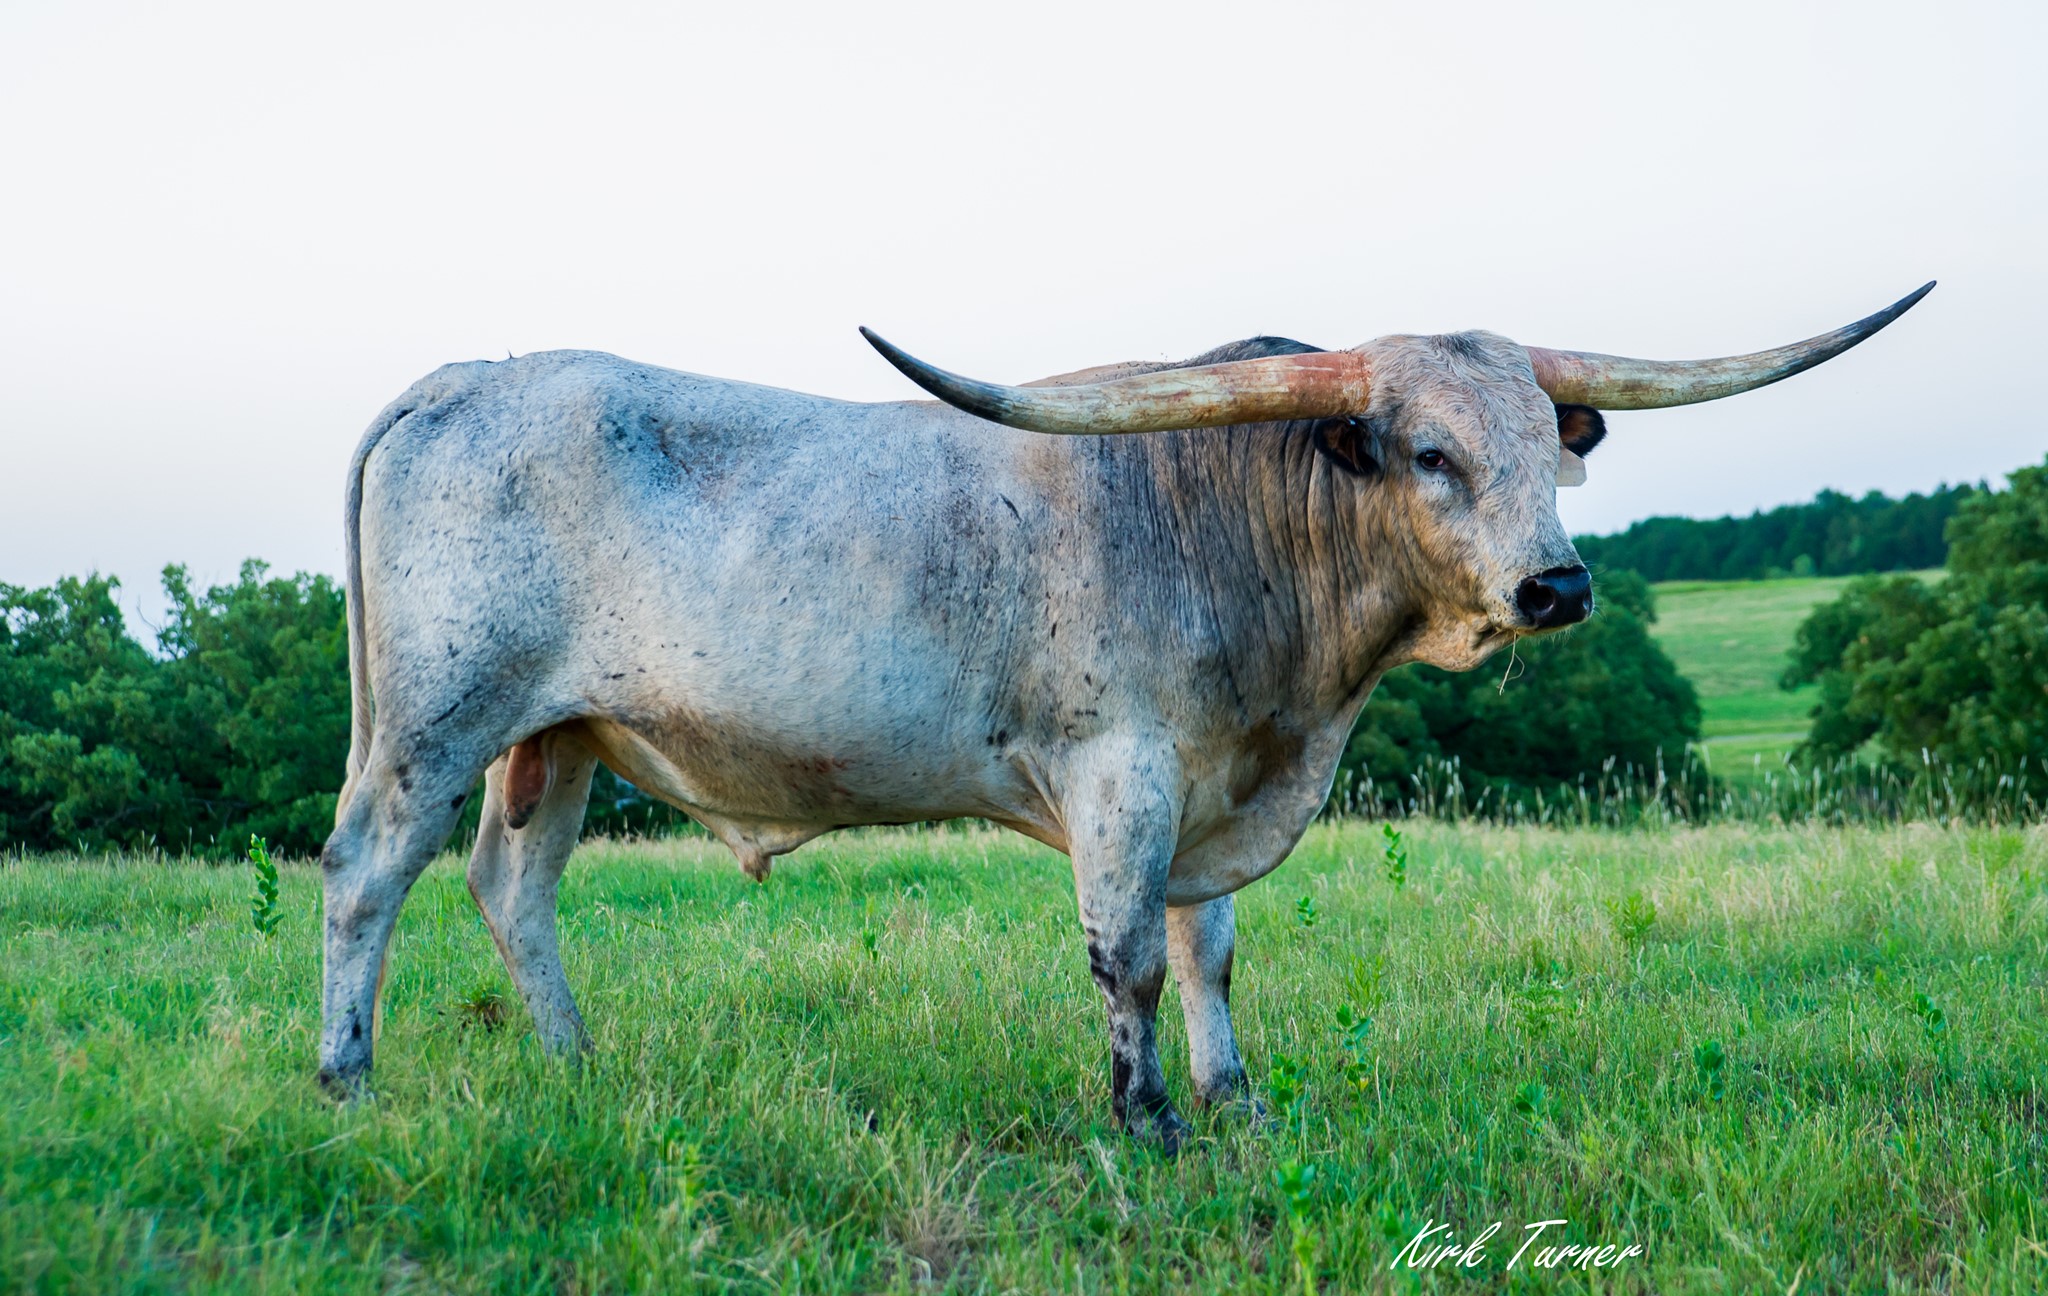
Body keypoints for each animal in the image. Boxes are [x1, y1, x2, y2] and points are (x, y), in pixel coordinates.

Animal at [318, 283, 1932, 1147]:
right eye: (1426, 452)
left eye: (1555, 443)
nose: (1558, 586)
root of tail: (459, 381)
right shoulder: (1123, 778)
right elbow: (1129, 960)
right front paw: (1142, 1119)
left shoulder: (1216, 789)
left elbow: (1206, 953)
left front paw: (1231, 1103)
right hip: (436, 724)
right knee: (365, 876)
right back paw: (347, 1078)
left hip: (557, 741)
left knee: (511, 888)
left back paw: (573, 1066)